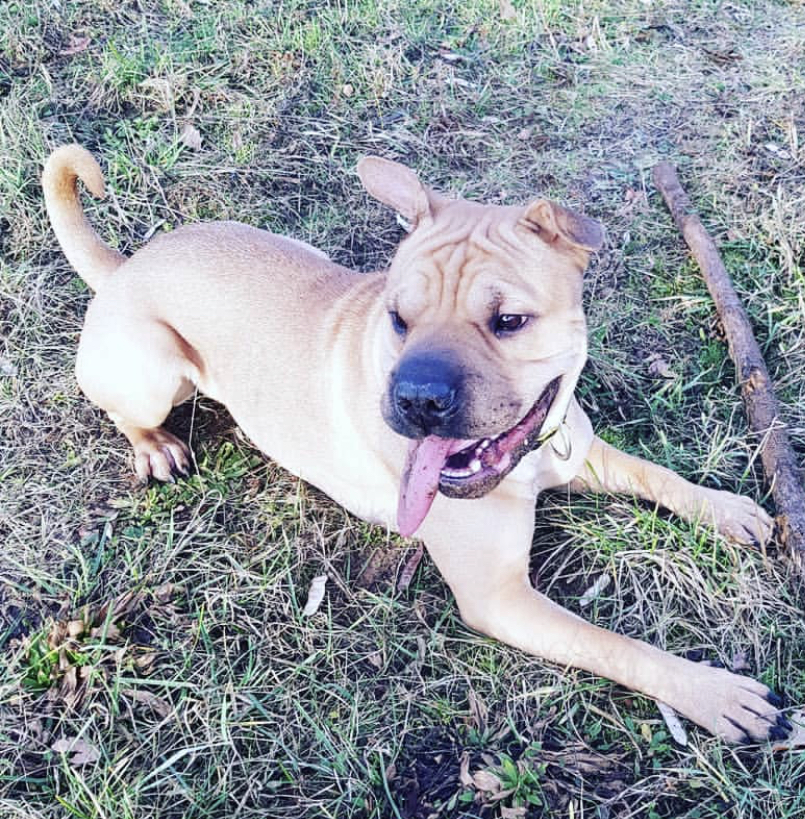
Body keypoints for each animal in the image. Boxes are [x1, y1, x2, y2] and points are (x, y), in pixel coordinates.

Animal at [40, 146, 788, 744]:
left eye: (509, 321)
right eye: (399, 318)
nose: (418, 399)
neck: (528, 463)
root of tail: (125, 266)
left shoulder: (579, 449)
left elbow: (659, 477)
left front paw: (725, 509)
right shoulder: (500, 597)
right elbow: (616, 646)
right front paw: (711, 691)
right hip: (155, 372)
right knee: (129, 411)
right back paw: (154, 445)